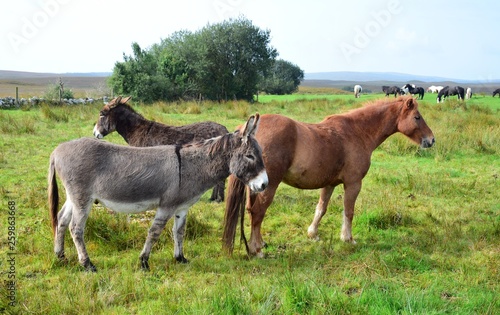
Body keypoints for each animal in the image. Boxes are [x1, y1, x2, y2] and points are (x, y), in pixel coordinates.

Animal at [49, 115, 270, 272]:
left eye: (260, 154)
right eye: (250, 156)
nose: (264, 184)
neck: (190, 166)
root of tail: (57, 150)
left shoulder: (182, 207)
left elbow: (179, 232)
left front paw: (180, 258)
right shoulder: (167, 206)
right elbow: (154, 232)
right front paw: (143, 262)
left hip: (73, 197)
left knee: (61, 220)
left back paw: (60, 255)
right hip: (82, 198)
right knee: (76, 228)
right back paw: (87, 264)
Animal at [93, 96, 228, 202]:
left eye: (102, 114)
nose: (94, 133)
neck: (137, 130)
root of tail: (224, 129)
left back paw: (219, 199)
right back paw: (213, 198)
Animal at [222, 96, 434, 256]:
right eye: (417, 117)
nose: (431, 140)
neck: (357, 132)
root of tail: (247, 132)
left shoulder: (329, 183)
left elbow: (321, 209)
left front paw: (313, 234)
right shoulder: (353, 184)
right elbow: (349, 211)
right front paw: (348, 239)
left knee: (252, 211)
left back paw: (259, 243)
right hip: (269, 186)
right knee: (258, 212)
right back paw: (257, 250)